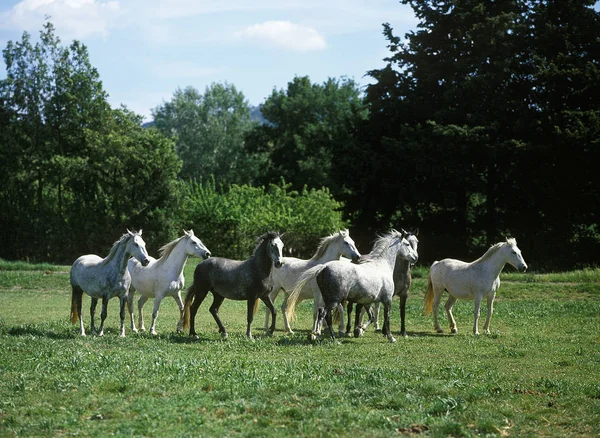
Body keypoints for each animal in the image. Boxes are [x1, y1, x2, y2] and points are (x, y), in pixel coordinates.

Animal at [286, 229, 418, 342]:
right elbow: (387, 319)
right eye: (407, 244)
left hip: (327, 299)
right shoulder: (387, 300)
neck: (382, 266)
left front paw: (359, 329)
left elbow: (371, 317)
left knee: (322, 313)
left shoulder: (367, 302)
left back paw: (318, 335)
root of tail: (323, 267)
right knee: (324, 315)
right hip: (333, 301)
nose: (415, 258)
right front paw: (391, 338)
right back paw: (332, 338)